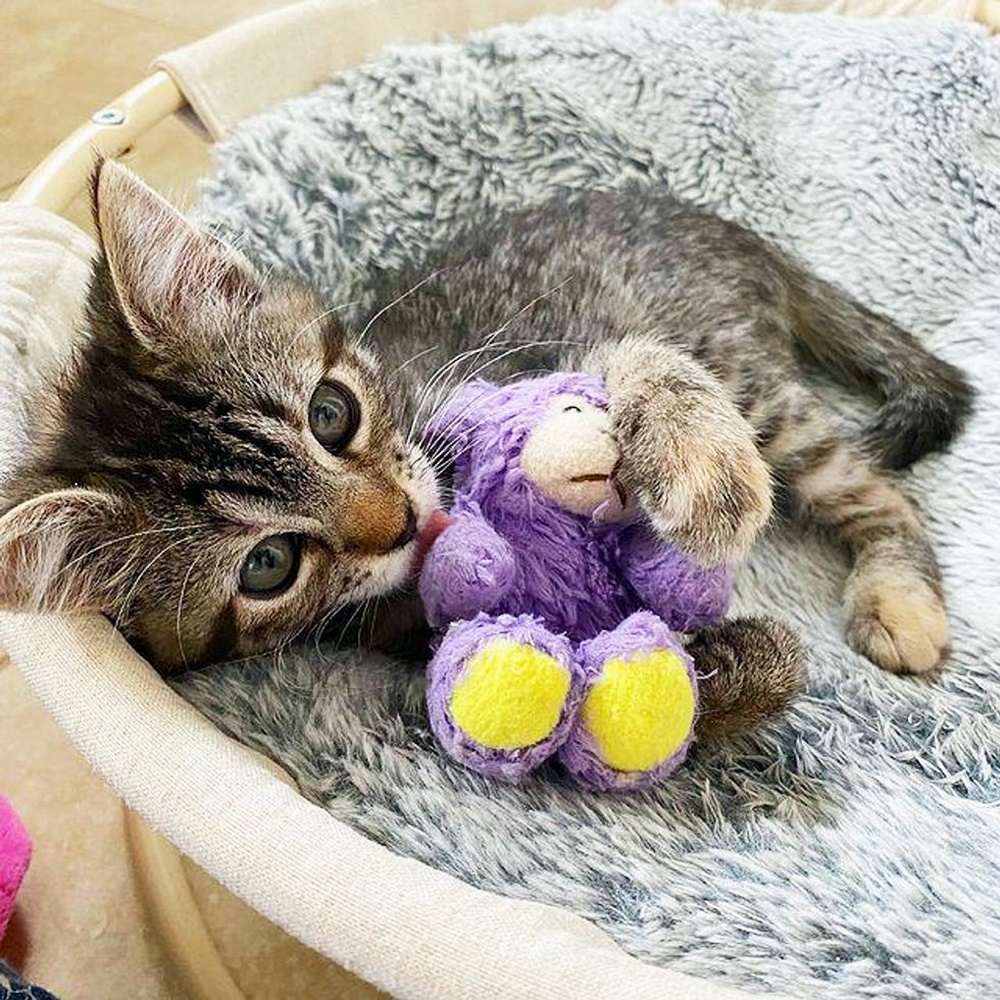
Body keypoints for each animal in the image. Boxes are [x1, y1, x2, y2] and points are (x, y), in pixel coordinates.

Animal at [0, 161, 972, 709]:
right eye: (267, 566)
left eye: (331, 413)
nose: (400, 521)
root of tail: (731, 231)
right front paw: (718, 667)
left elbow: (628, 359)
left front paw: (700, 462)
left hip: (752, 377)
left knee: (878, 490)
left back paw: (899, 599)